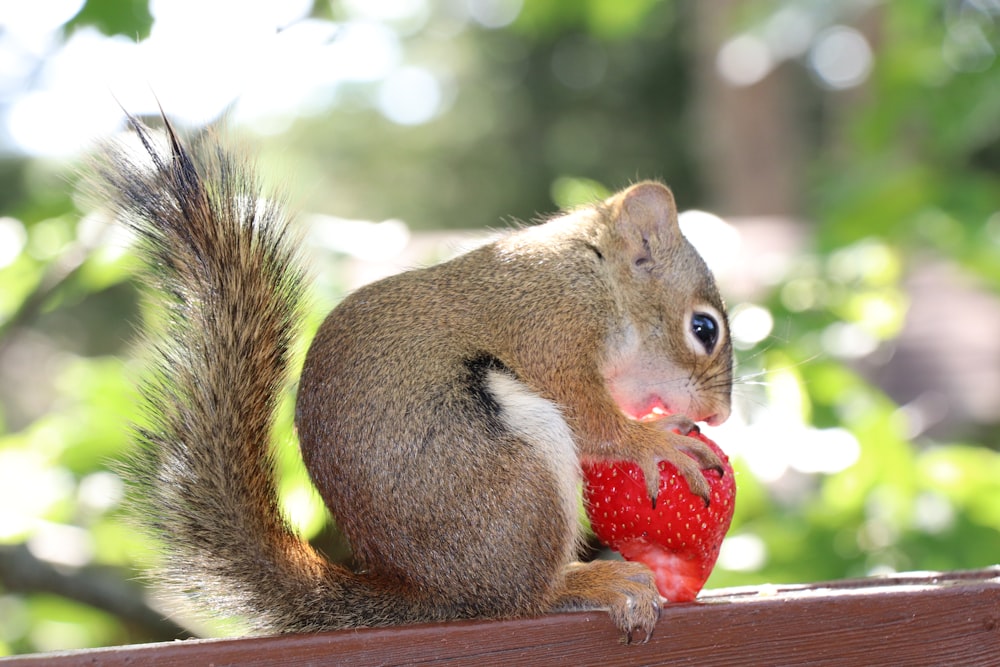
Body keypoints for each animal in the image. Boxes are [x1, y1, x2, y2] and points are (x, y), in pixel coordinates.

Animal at [92, 115, 736, 648]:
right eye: (704, 328)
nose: (721, 416)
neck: (593, 272)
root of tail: (432, 594)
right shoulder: (549, 329)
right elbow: (589, 415)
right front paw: (654, 441)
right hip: (506, 474)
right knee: (523, 597)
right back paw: (590, 582)